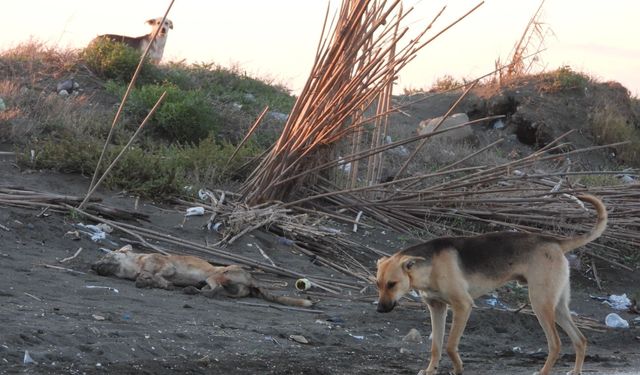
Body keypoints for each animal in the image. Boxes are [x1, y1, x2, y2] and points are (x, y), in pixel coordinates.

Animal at [94, 245, 314, 310]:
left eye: (105, 255)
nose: (91, 265)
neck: (135, 263)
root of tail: (253, 279)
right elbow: (148, 277)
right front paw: (147, 281)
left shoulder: (167, 267)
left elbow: (155, 275)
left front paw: (155, 282)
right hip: (226, 287)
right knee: (216, 292)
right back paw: (192, 290)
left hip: (217, 274)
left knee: (215, 290)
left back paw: (192, 290)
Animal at [372, 194, 608, 375]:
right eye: (378, 285)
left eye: (392, 284)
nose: (379, 310)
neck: (429, 266)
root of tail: (555, 241)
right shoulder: (437, 308)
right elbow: (435, 347)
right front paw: (431, 370)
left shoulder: (463, 306)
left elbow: (450, 345)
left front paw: (458, 369)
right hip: (557, 306)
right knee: (580, 340)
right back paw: (575, 371)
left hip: (540, 304)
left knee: (556, 344)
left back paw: (543, 371)